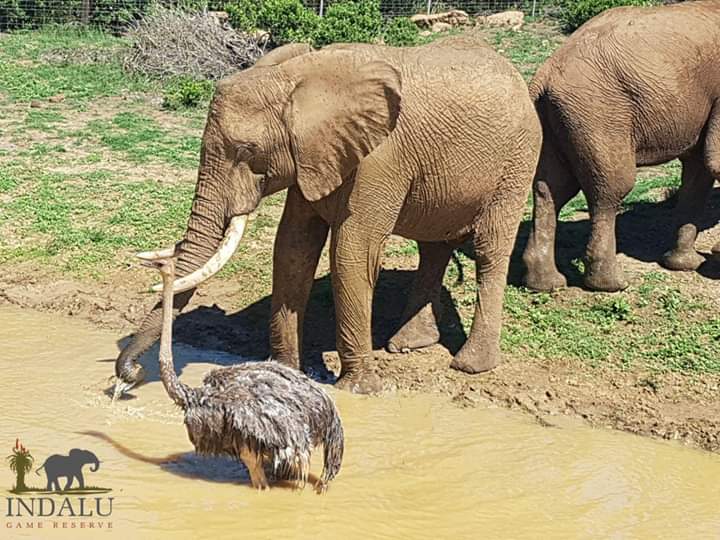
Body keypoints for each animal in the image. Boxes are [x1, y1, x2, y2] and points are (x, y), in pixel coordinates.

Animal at [115, 35, 542, 394]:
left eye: (247, 151)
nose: (128, 376)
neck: (295, 77)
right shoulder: (312, 157)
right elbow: (293, 246)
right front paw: (285, 373)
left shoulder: (380, 157)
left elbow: (351, 252)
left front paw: (359, 391)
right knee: (432, 247)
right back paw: (407, 345)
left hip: (517, 162)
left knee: (489, 251)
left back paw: (470, 366)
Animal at [522, 1, 720, 292]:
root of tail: (542, 76)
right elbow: (714, 163)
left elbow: (700, 172)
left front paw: (685, 264)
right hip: (597, 114)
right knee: (611, 189)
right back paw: (611, 284)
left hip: (551, 119)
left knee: (551, 189)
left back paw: (546, 284)